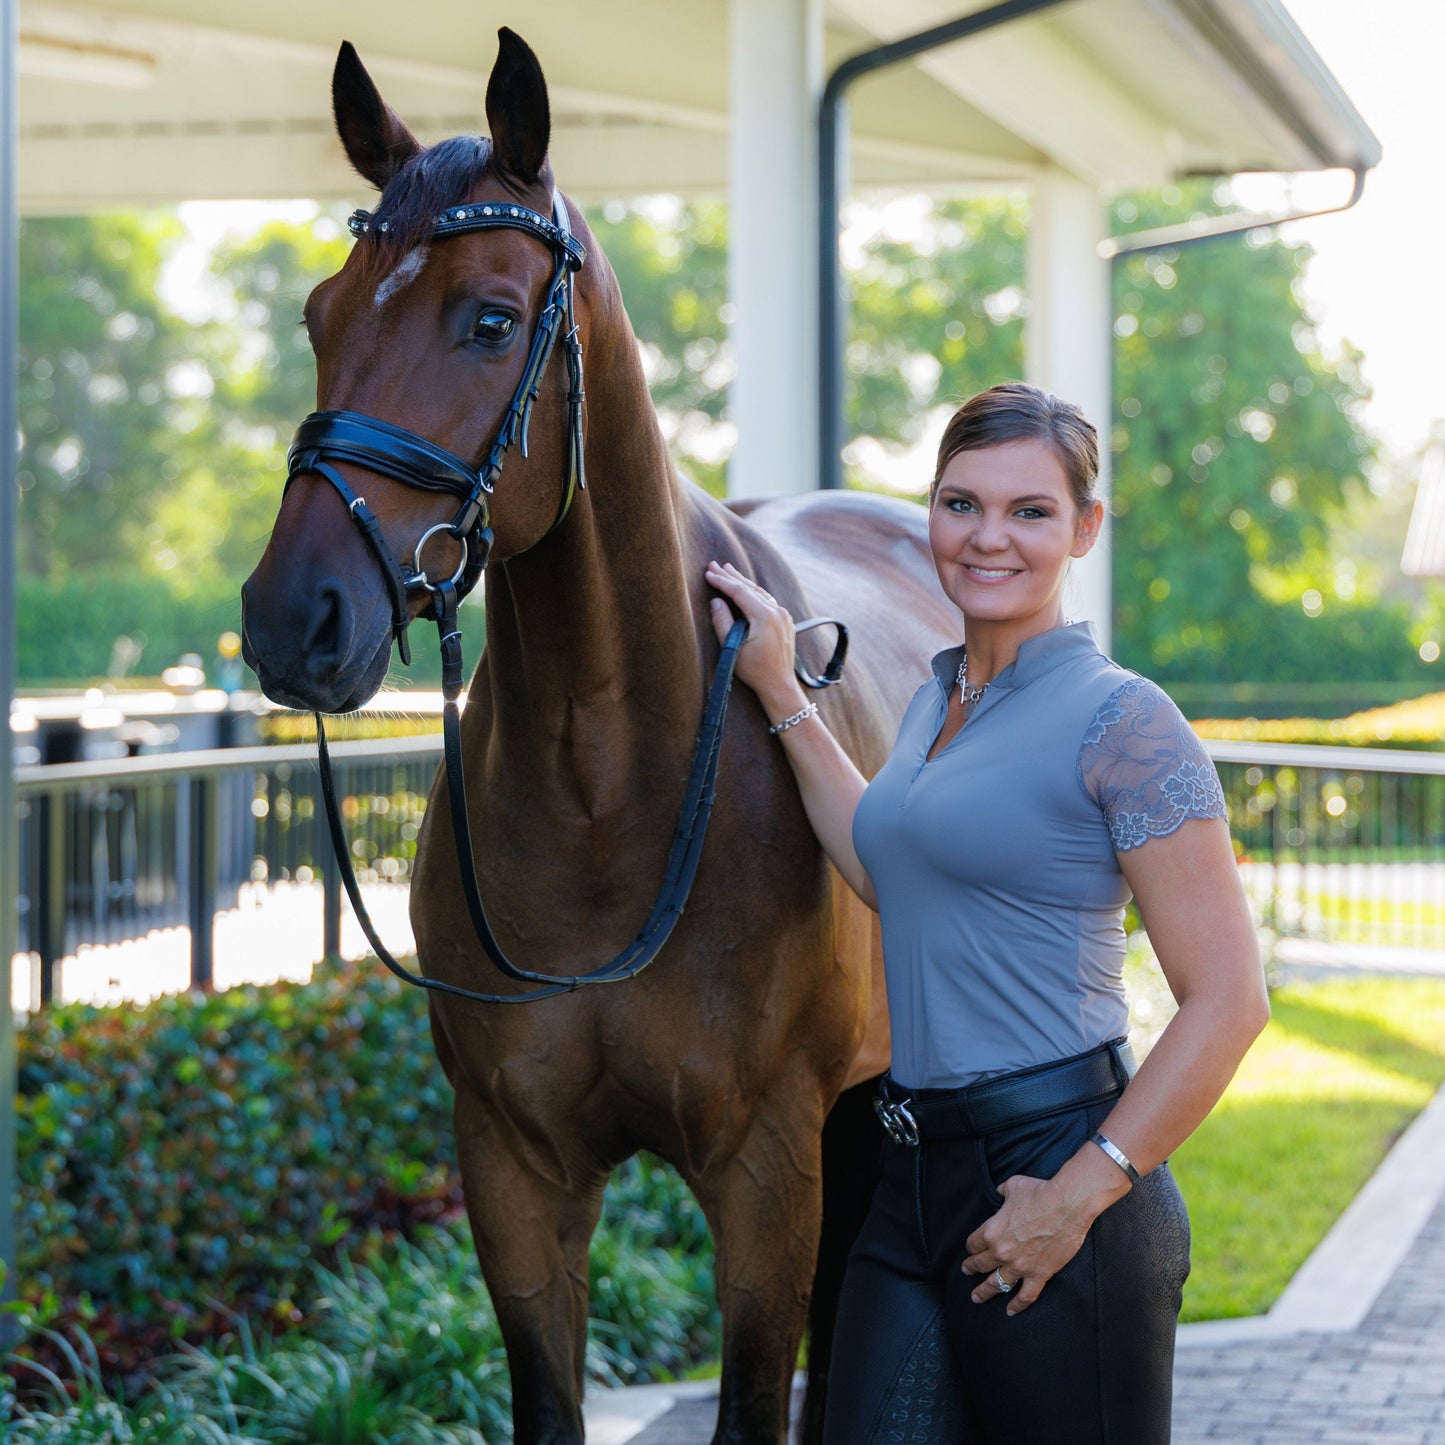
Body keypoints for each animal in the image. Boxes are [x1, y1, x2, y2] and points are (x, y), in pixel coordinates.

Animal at [239, 25, 959, 1445]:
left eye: (489, 318)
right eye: (317, 315)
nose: (294, 619)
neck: (608, 795)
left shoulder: (764, 1173)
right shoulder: (513, 1169)